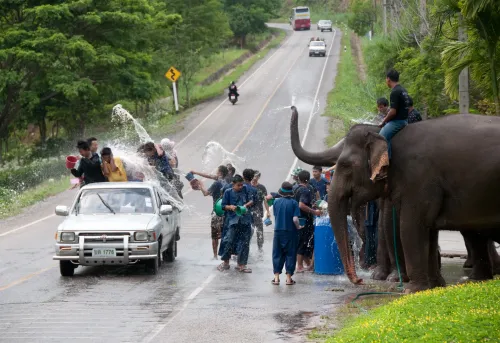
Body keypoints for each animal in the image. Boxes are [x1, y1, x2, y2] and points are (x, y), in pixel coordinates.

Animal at [290, 107, 500, 292]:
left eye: (345, 165)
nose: (359, 280)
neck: (384, 134)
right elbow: (429, 232)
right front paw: (435, 286)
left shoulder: (418, 178)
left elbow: (410, 227)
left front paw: (412, 290)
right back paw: (477, 280)